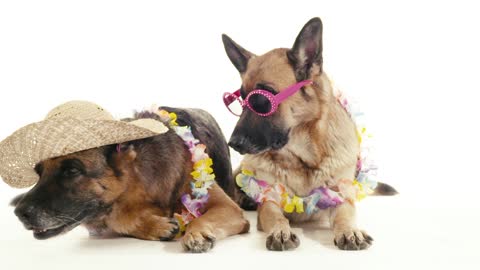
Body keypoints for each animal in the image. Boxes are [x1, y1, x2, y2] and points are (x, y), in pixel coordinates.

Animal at [0, 100, 248, 252]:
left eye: (72, 170)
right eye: (38, 172)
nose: (20, 213)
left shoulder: (228, 208)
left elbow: (202, 218)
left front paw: (196, 233)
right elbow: (117, 218)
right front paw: (157, 226)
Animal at [223, 17, 396, 251]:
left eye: (262, 101)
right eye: (241, 100)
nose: (233, 143)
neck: (303, 159)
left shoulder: (340, 196)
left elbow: (344, 215)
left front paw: (350, 231)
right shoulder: (270, 201)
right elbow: (277, 216)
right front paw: (281, 231)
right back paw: (245, 198)